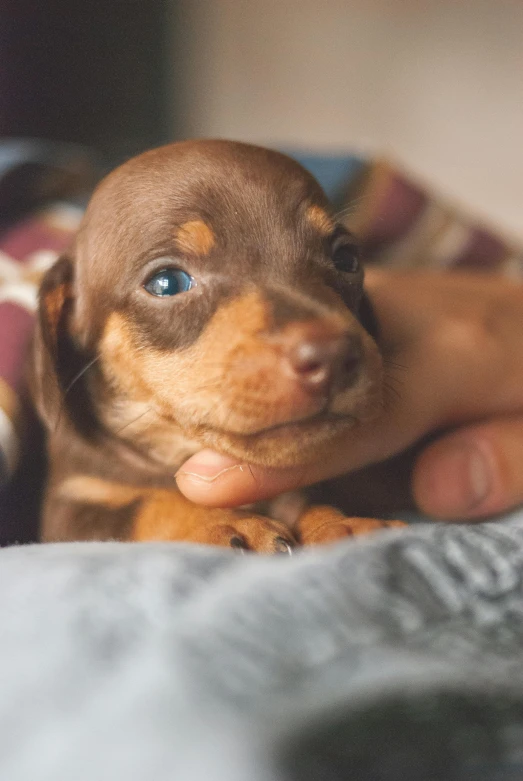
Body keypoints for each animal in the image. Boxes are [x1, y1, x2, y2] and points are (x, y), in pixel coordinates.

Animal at [30, 142, 404, 556]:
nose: (333, 355)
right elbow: (152, 501)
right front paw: (221, 521)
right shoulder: (70, 508)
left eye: (347, 259)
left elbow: (307, 496)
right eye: (167, 283)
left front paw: (338, 523)